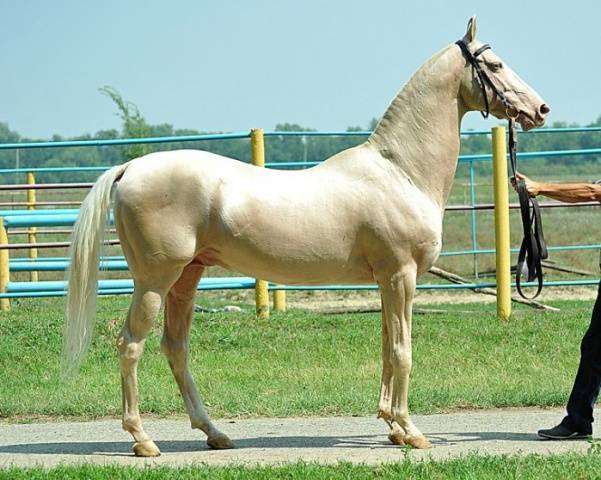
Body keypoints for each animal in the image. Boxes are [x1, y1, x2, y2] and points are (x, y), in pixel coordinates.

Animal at [63, 16, 548, 456]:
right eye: (496, 65)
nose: (541, 110)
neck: (399, 171)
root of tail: (130, 168)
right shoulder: (401, 275)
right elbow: (402, 350)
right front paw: (411, 431)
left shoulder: (386, 282)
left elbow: (387, 350)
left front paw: (391, 427)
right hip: (155, 280)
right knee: (131, 345)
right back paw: (143, 440)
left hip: (187, 277)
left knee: (175, 348)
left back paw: (214, 433)